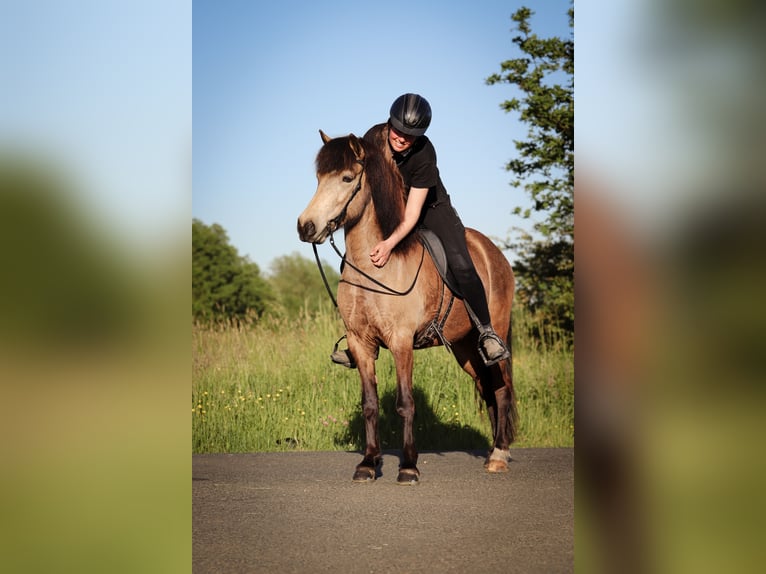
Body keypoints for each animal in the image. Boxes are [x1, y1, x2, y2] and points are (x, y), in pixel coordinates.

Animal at [297, 130, 517, 484]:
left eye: (346, 178)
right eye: (318, 178)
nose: (305, 227)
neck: (375, 266)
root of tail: (493, 251)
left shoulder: (401, 342)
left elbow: (405, 403)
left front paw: (409, 465)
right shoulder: (360, 343)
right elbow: (370, 403)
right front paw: (368, 463)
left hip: (492, 333)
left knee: (501, 389)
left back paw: (498, 455)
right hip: (466, 348)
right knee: (488, 388)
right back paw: (497, 451)